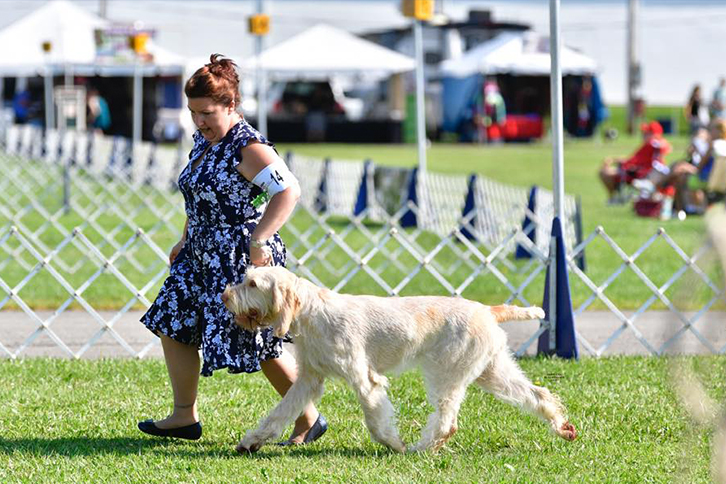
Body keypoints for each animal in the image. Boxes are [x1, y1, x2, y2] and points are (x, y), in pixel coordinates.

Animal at [223, 264, 580, 454]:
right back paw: (562, 428)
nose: (225, 295)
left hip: (445, 375)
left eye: (252, 283)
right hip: (493, 372)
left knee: (447, 422)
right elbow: (278, 414)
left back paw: (421, 449)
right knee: (539, 395)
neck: (312, 312)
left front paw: (394, 445)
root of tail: (487, 310)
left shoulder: (366, 380)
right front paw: (251, 442)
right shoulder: (308, 381)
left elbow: (376, 421)